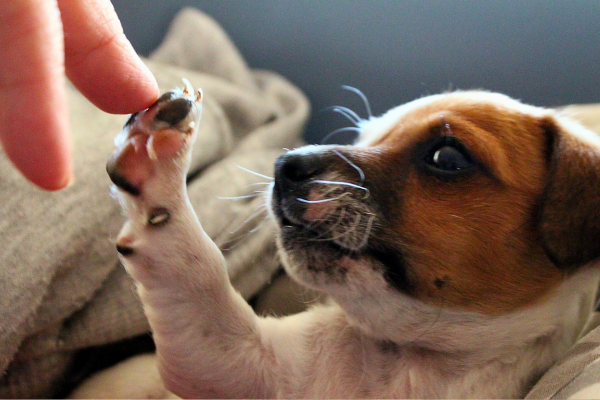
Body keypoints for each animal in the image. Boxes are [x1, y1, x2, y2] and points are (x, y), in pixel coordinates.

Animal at [98, 86, 600, 398]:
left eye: (447, 157)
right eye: (363, 136)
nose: (284, 165)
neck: (407, 358)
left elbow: (194, 266)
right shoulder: (229, 362)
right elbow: (196, 266)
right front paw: (155, 157)